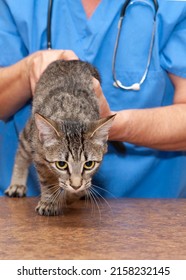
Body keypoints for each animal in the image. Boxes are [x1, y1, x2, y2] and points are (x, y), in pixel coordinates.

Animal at [4, 60, 115, 215]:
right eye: (61, 164)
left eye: (89, 164)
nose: (76, 185)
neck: (71, 115)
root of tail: (72, 61)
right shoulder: (39, 157)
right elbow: (47, 181)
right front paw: (49, 201)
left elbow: (78, 187)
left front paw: (71, 195)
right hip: (31, 132)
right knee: (21, 148)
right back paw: (17, 184)